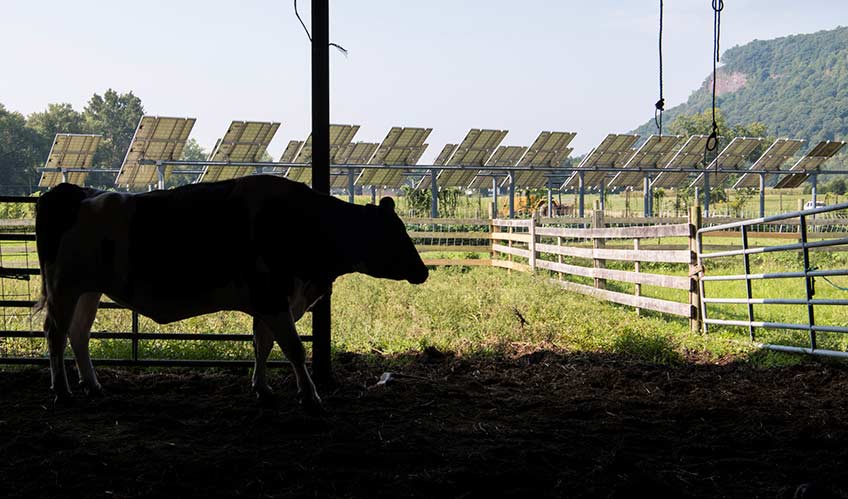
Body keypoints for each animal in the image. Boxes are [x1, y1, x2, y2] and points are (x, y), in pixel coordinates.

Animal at [35, 175, 428, 410]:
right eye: (394, 233)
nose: (423, 271)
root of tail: (71, 191)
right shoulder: (273, 297)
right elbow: (294, 349)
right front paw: (310, 395)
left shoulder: (269, 302)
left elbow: (263, 345)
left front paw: (263, 388)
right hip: (65, 288)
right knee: (55, 333)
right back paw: (61, 390)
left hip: (88, 291)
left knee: (79, 334)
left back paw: (92, 385)